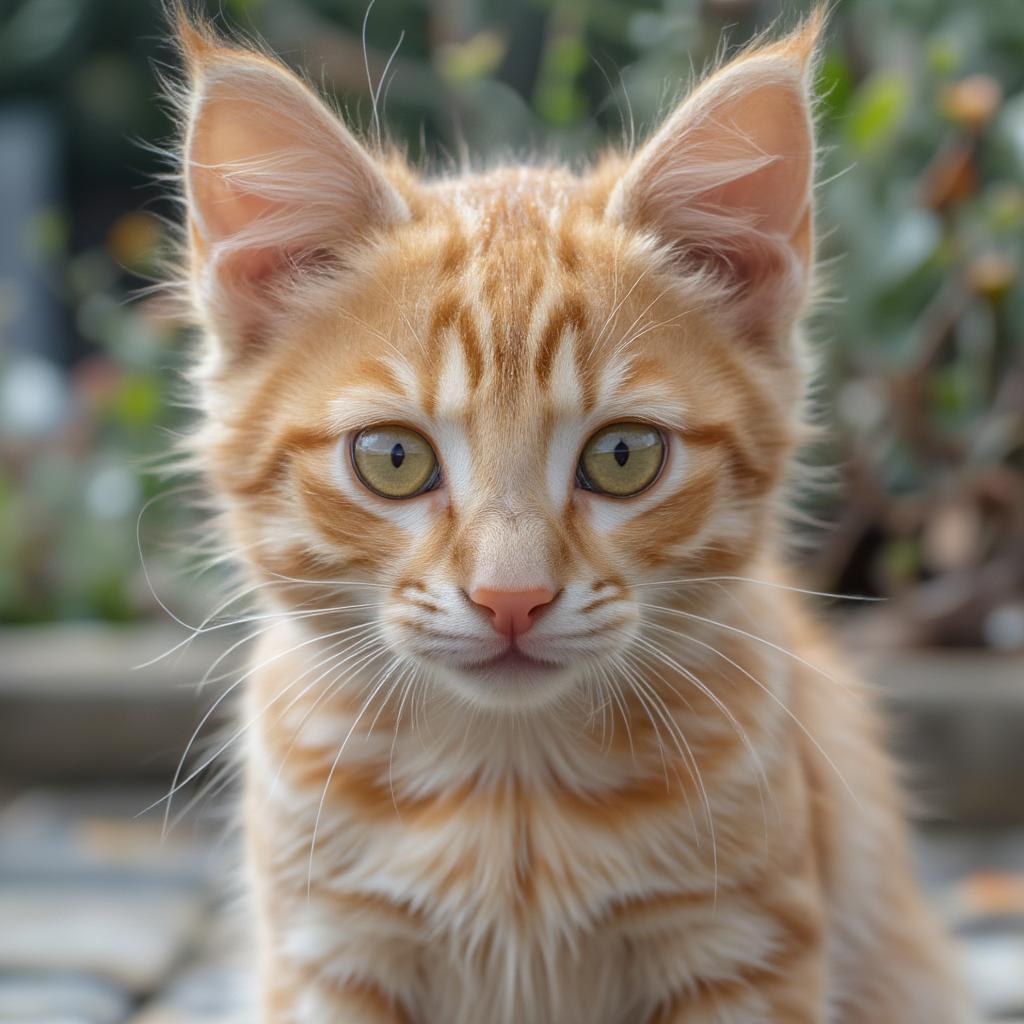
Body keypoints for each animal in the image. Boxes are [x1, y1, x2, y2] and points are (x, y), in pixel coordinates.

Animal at [172, 9, 970, 1024]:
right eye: (393, 460)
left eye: (623, 458)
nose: (511, 598)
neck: (511, 794)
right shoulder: (326, 951)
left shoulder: (745, 946)